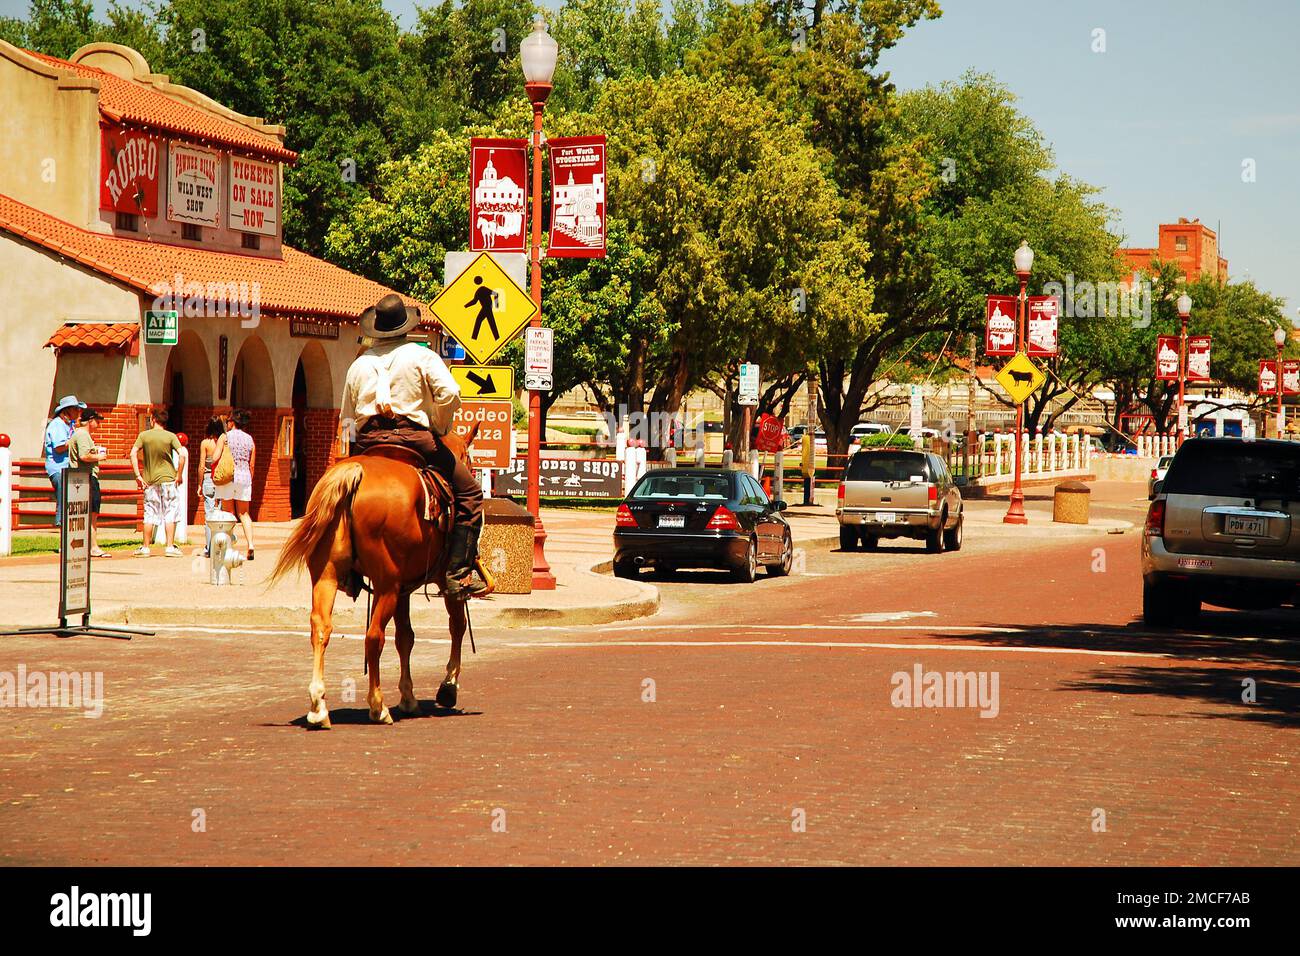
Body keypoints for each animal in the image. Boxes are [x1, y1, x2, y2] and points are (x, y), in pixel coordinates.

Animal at [266, 421, 488, 728]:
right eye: (469, 460)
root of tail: (354, 472)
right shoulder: (443, 581)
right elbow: (456, 627)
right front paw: (448, 687)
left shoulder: (404, 587)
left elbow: (406, 637)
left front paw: (409, 697)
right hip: (386, 586)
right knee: (374, 637)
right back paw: (377, 706)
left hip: (327, 577)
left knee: (321, 628)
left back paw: (318, 707)